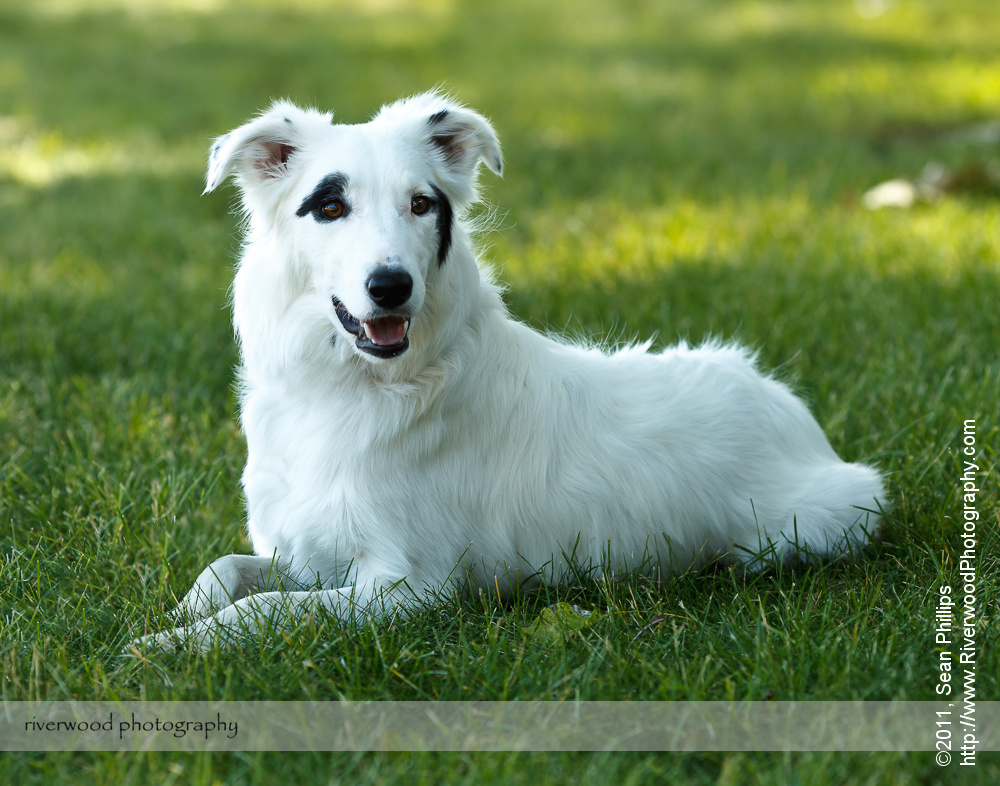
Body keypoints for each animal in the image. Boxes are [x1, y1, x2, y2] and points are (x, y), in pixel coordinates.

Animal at [139, 92, 884, 648]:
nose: (392, 287)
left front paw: (165, 645)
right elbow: (225, 571)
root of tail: (785, 403)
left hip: (821, 519)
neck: (352, 387)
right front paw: (175, 616)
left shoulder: (409, 586)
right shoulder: (307, 555)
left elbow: (258, 609)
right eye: (329, 206)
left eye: (421, 204)